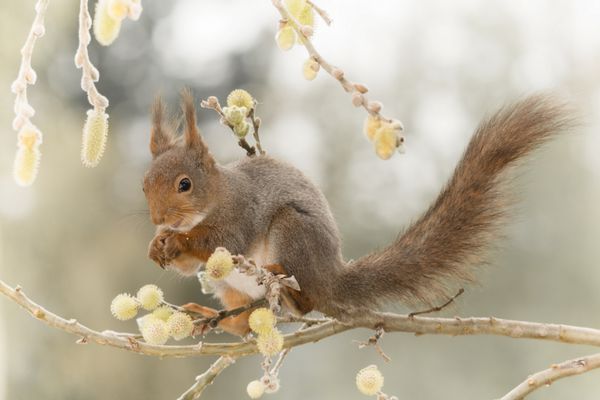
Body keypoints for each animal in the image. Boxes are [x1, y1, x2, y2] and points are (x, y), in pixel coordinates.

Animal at [143, 90, 576, 334]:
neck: (217, 196)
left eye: (185, 184)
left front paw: (177, 240)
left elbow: (220, 241)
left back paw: (286, 284)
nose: (159, 220)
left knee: (307, 300)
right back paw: (211, 317)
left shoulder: (241, 214)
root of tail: (331, 274)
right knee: (242, 325)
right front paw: (158, 245)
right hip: (229, 287)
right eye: (144, 184)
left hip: (291, 231)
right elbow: (190, 265)